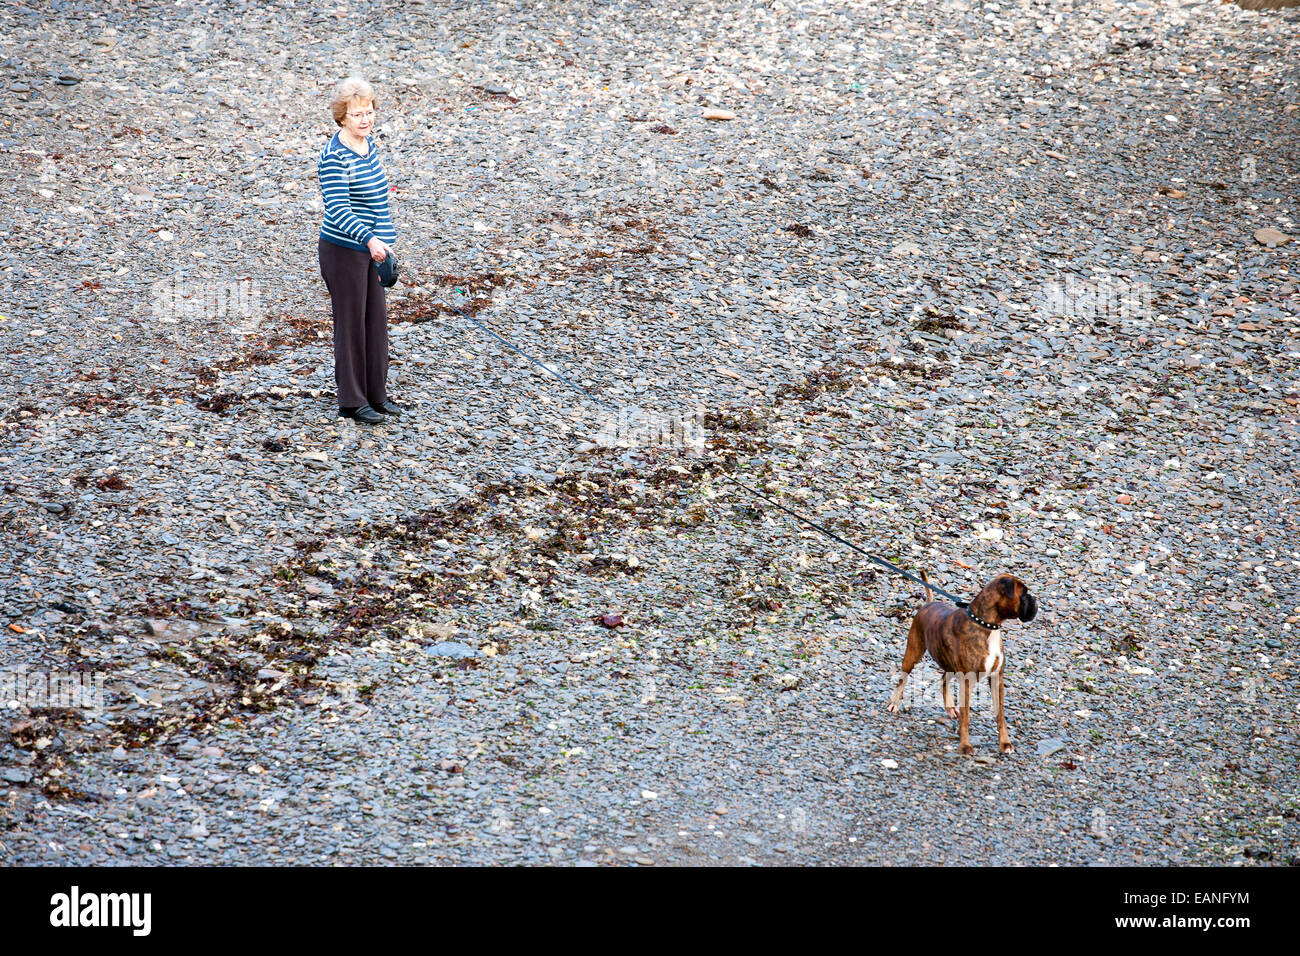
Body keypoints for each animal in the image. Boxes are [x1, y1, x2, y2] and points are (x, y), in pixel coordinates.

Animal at [883, 572, 1034, 759]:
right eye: (1024, 593)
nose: (1034, 600)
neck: (985, 624)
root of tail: (928, 604)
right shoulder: (967, 682)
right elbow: (966, 717)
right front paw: (965, 746)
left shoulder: (996, 679)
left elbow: (1000, 715)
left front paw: (1005, 743)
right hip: (914, 652)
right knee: (903, 678)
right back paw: (895, 702)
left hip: (949, 664)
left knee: (943, 680)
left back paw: (950, 707)